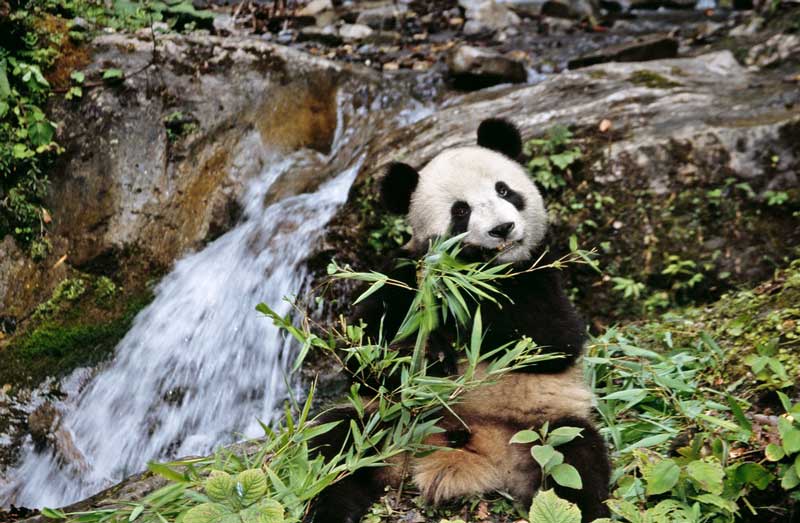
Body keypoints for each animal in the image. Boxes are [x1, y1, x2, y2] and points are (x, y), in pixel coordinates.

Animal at [309, 118, 611, 523]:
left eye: (504, 189)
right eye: (461, 211)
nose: (502, 229)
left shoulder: (539, 272)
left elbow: (552, 339)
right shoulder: (399, 278)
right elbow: (363, 355)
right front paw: (427, 352)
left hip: (541, 425)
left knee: (574, 464)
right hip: (381, 422)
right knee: (334, 447)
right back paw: (329, 509)